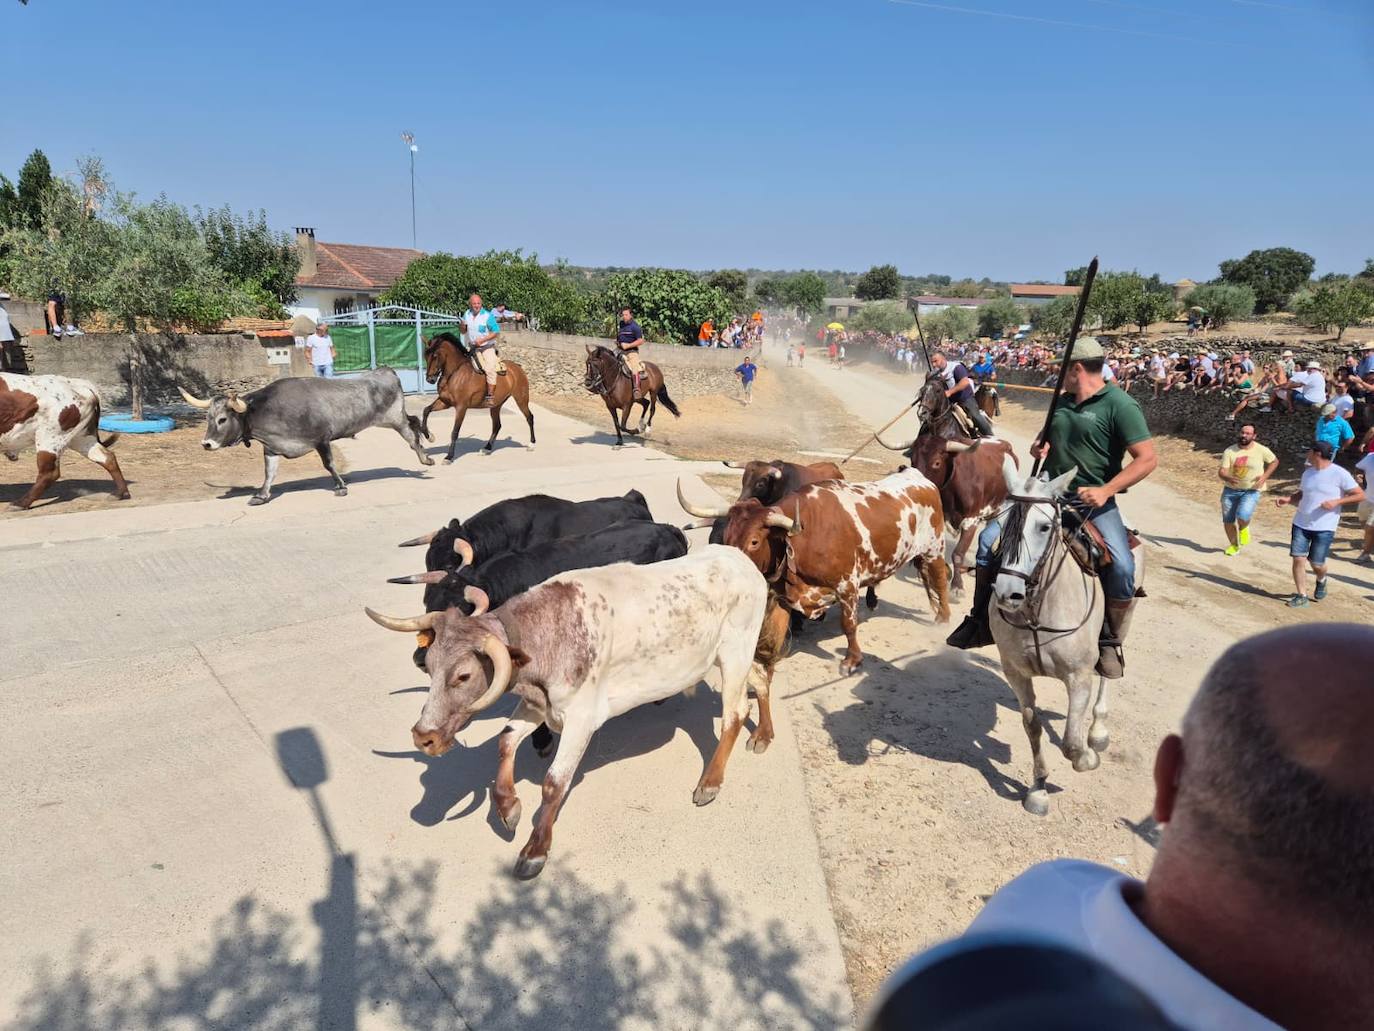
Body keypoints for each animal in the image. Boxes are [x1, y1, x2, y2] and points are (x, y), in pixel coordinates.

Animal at [420, 332, 536, 462]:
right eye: (425, 355)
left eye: (435, 356)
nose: (430, 379)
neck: (455, 373)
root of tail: (517, 367)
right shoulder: (445, 402)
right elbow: (426, 410)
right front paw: (429, 436)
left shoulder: (461, 407)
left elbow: (455, 431)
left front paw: (449, 457)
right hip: (496, 405)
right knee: (497, 425)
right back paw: (487, 448)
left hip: (521, 399)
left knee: (529, 417)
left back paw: (531, 444)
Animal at [988, 457, 1145, 817]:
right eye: (1000, 521)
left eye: (1044, 527)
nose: (1007, 593)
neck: (1039, 610)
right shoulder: (1016, 673)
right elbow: (1032, 725)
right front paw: (1038, 789)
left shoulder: (1078, 677)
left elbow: (1072, 743)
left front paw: (1088, 756)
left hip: (1125, 619)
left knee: (1108, 671)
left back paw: (1098, 732)